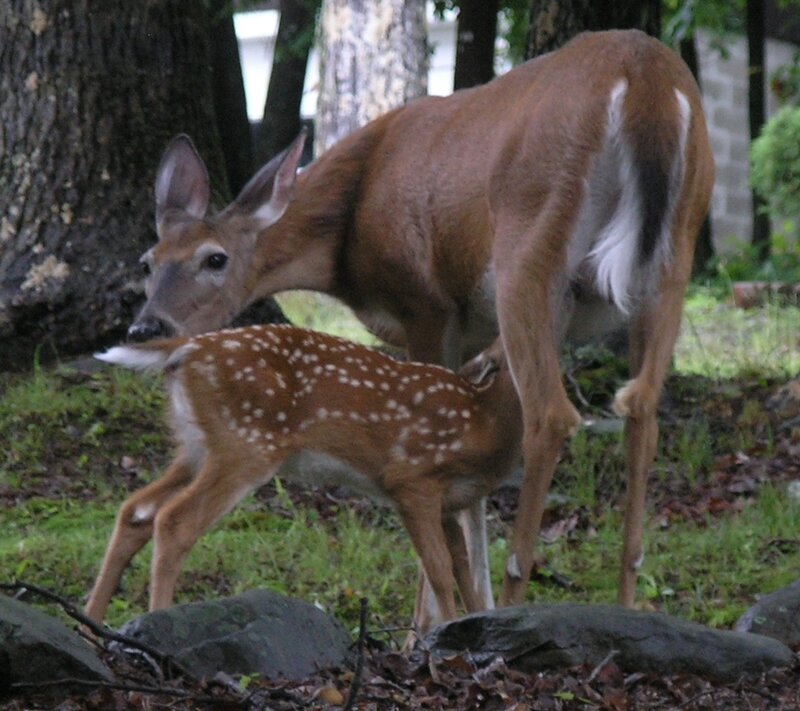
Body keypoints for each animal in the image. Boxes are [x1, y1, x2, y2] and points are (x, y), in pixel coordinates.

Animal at [85, 326, 521, 632]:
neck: (482, 424)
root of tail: (188, 347)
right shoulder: (412, 479)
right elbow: (439, 568)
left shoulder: (451, 501)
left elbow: (463, 568)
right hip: (246, 445)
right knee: (174, 521)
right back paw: (157, 623)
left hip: (194, 448)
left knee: (135, 509)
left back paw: (91, 627)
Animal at [123, 29, 714, 627]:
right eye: (148, 261)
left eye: (214, 259)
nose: (146, 327)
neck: (348, 229)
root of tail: (642, 77)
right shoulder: (472, 337)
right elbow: (469, 497)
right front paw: (468, 608)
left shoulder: (425, 306)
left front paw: (426, 628)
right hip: (675, 257)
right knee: (641, 406)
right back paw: (625, 607)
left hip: (529, 251)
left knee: (551, 415)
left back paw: (519, 601)